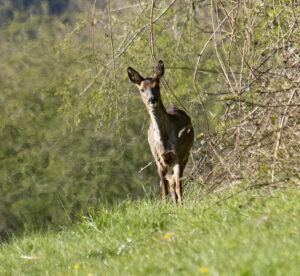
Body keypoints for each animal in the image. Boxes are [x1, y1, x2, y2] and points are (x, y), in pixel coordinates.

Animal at [127, 59, 195, 203]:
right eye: (142, 89)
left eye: (157, 86)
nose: (152, 100)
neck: (163, 140)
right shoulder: (158, 159)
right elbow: (164, 189)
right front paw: (165, 204)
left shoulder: (177, 154)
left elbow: (178, 185)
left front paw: (182, 205)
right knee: (170, 182)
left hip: (186, 153)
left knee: (175, 182)